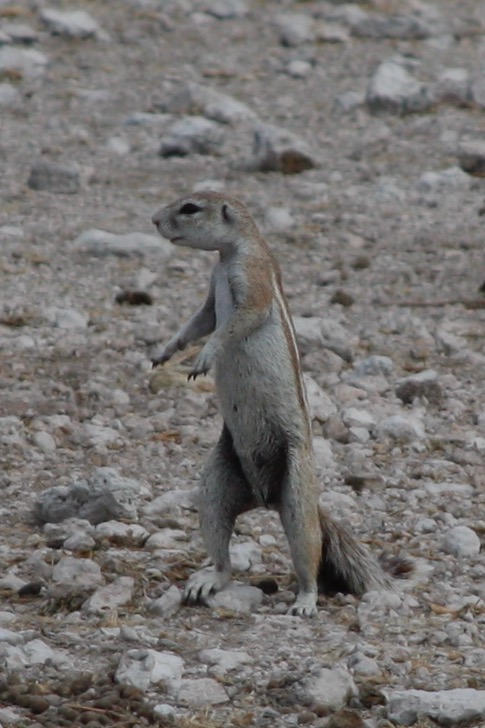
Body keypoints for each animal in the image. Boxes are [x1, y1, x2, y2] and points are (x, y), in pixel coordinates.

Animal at [150, 191, 398, 616]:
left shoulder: (253, 281)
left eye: (190, 208)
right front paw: (165, 350)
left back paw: (305, 600)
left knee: (309, 556)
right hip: (214, 486)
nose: (153, 221)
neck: (231, 252)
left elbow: (233, 323)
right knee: (223, 554)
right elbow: (198, 321)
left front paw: (205, 355)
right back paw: (208, 579)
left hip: (297, 495)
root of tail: (265, 499)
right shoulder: (210, 296)